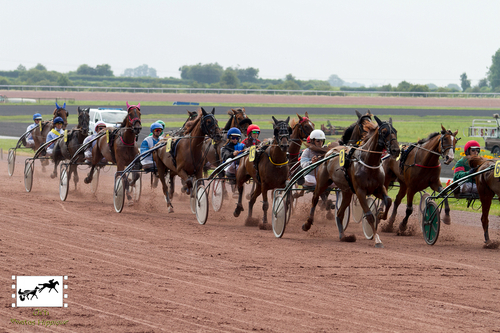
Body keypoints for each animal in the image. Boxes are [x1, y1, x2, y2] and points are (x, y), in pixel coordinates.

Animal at [302, 115, 400, 246]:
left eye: (395, 131)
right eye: (384, 132)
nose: (396, 150)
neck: (368, 162)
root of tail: (329, 151)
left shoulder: (378, 188)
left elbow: (388, 200)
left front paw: (380, 215)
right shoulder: (360, 191)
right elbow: (369, 215)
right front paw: (377, 239)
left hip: (346, 191)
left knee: (339, 213)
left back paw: (343, 236)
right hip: (322, 182)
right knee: (315, 198)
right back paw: (307, 223)